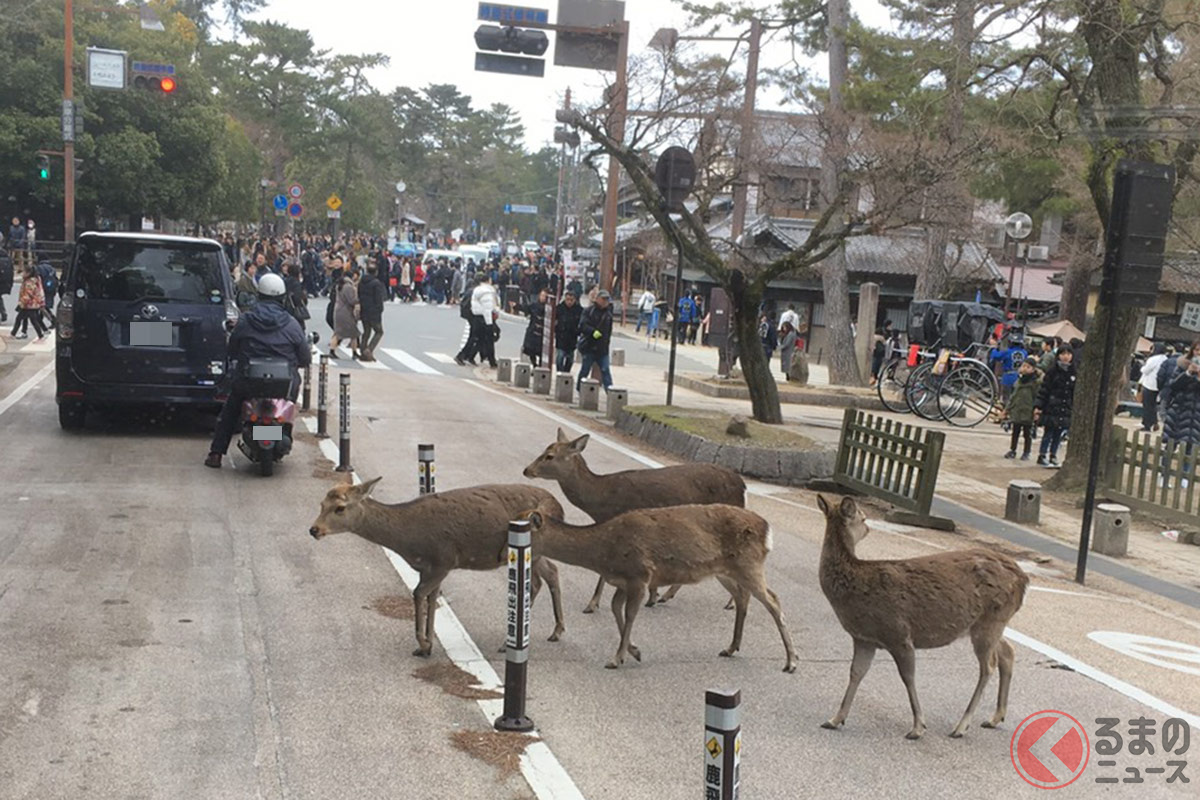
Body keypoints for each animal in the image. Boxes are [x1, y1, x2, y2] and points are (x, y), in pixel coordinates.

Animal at [312, 482, 568, 657]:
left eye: (340, 508)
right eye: (321, 504)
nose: (314, 529)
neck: (407, 540)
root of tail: (559, 507)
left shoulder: (443, 560)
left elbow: (418, 594)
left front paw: (424, 644)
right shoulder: (428, 567)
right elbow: (431, 596)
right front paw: (426, 646)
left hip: (534, 545)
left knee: (541, 579)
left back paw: (511, 642)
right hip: (537, 552)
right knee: (550, 573)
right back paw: (555, 631)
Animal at [518, 506, 792, 671]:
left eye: (522, 528)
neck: (602, 553)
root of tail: (767, 530)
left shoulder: (640, 575)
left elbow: (629, 615)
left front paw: (616, 658)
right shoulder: (622, 581)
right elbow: (616, 609)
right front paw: (635, 651)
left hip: (749, 564)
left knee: (773, 600)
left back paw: (791, 661)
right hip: (725, 571)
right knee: (743, 596)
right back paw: (731, 647)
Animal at [523, 431, 744, 614]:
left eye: (550, 456)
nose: (527, 470)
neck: (600, 500)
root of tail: (742, 485)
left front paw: (592, 604)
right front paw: (653, 596)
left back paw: (730, 603)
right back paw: (668, 596)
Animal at [820, 496, 1027, 743]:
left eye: (863, 517)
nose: (869, 527)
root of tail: (1024, 579)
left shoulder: (898, 633)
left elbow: (908, 677)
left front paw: (918, 727)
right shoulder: (864, 639)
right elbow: (856, 673)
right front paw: (835, 719)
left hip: (991, 620)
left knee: (989, 665)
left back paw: (961, 726)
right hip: (990, 623)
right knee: (1008, 652)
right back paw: (994, 718)